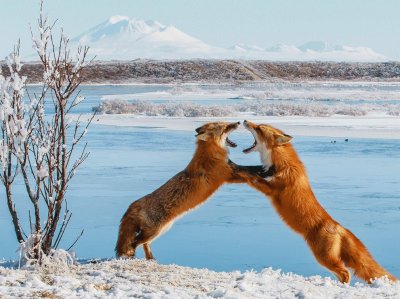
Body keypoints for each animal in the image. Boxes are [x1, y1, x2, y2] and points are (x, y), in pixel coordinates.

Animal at [115, 121, 266, 260]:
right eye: (225, 127)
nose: (238, 122)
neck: (210, 154)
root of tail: (134, 205)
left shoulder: (233, 168)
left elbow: (252, 169)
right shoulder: (228, 175)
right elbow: (250, 171)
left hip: (160, 231)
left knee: (145, 244)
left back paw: (151, 259)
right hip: (154, 231)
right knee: (134, 243)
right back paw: (132, 256)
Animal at [241, 120, 396, 284]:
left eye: (259, 128)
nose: (245, 120)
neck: (280, 164)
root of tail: (339, 227)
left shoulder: (271, 189)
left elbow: (251, 177)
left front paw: (238, 171)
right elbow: (252, 171)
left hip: (323, 257)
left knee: (345, 273)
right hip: (326, 259)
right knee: (341, 273)